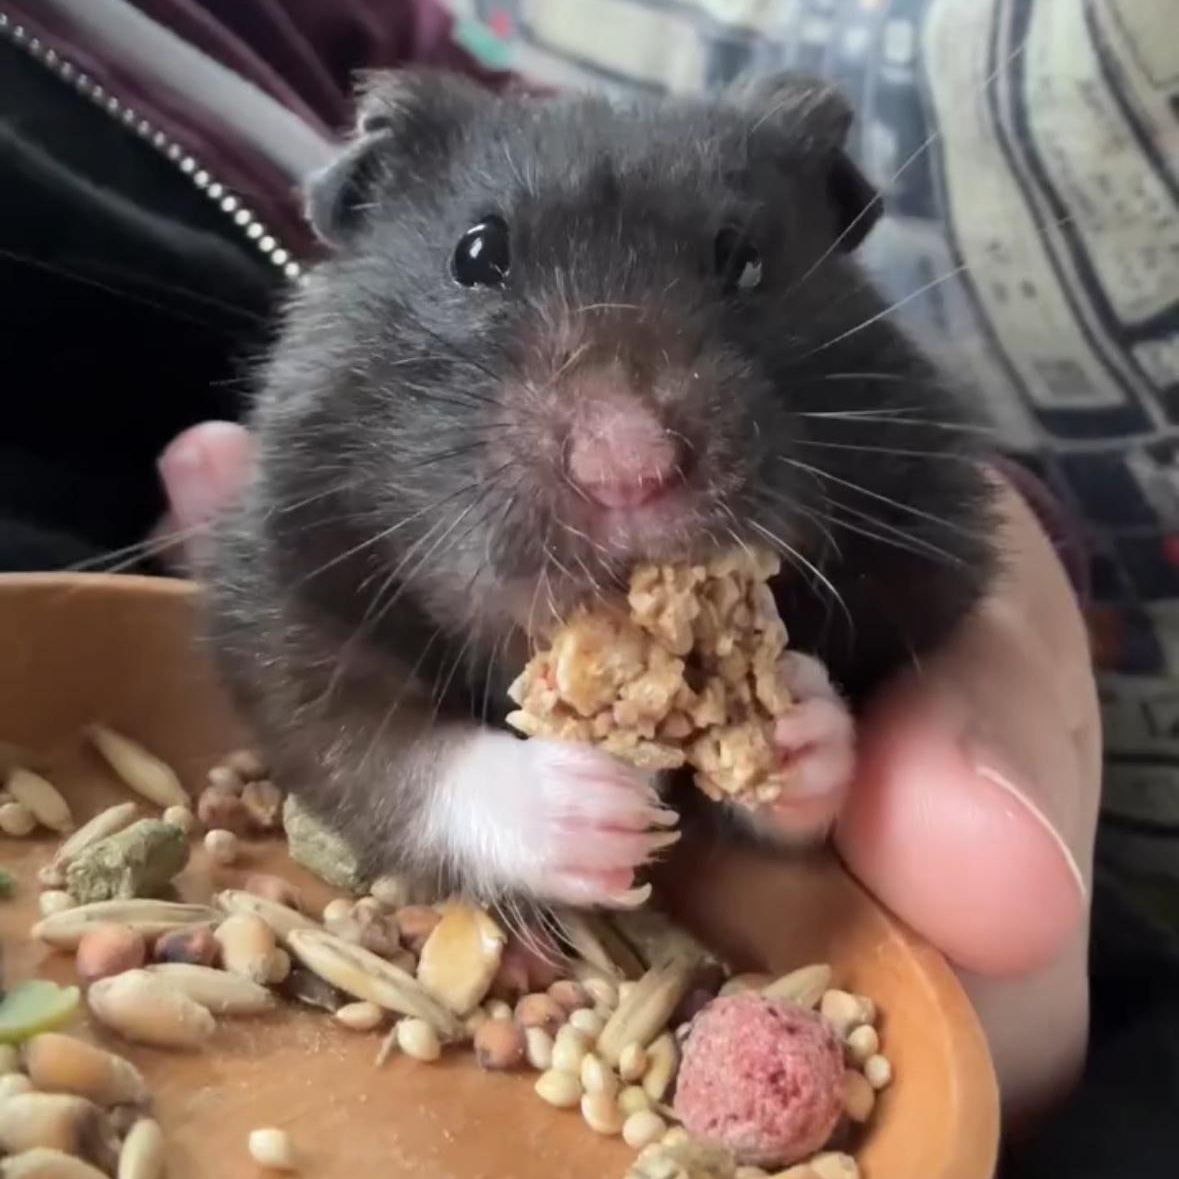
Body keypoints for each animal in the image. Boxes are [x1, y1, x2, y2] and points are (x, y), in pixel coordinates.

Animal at [201, 69, 999, 912]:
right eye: (476, 253)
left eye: (744, 258)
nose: (627, 468)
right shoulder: (276, 600)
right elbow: (384, 754)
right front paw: (600, 813)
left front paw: (795, 724)